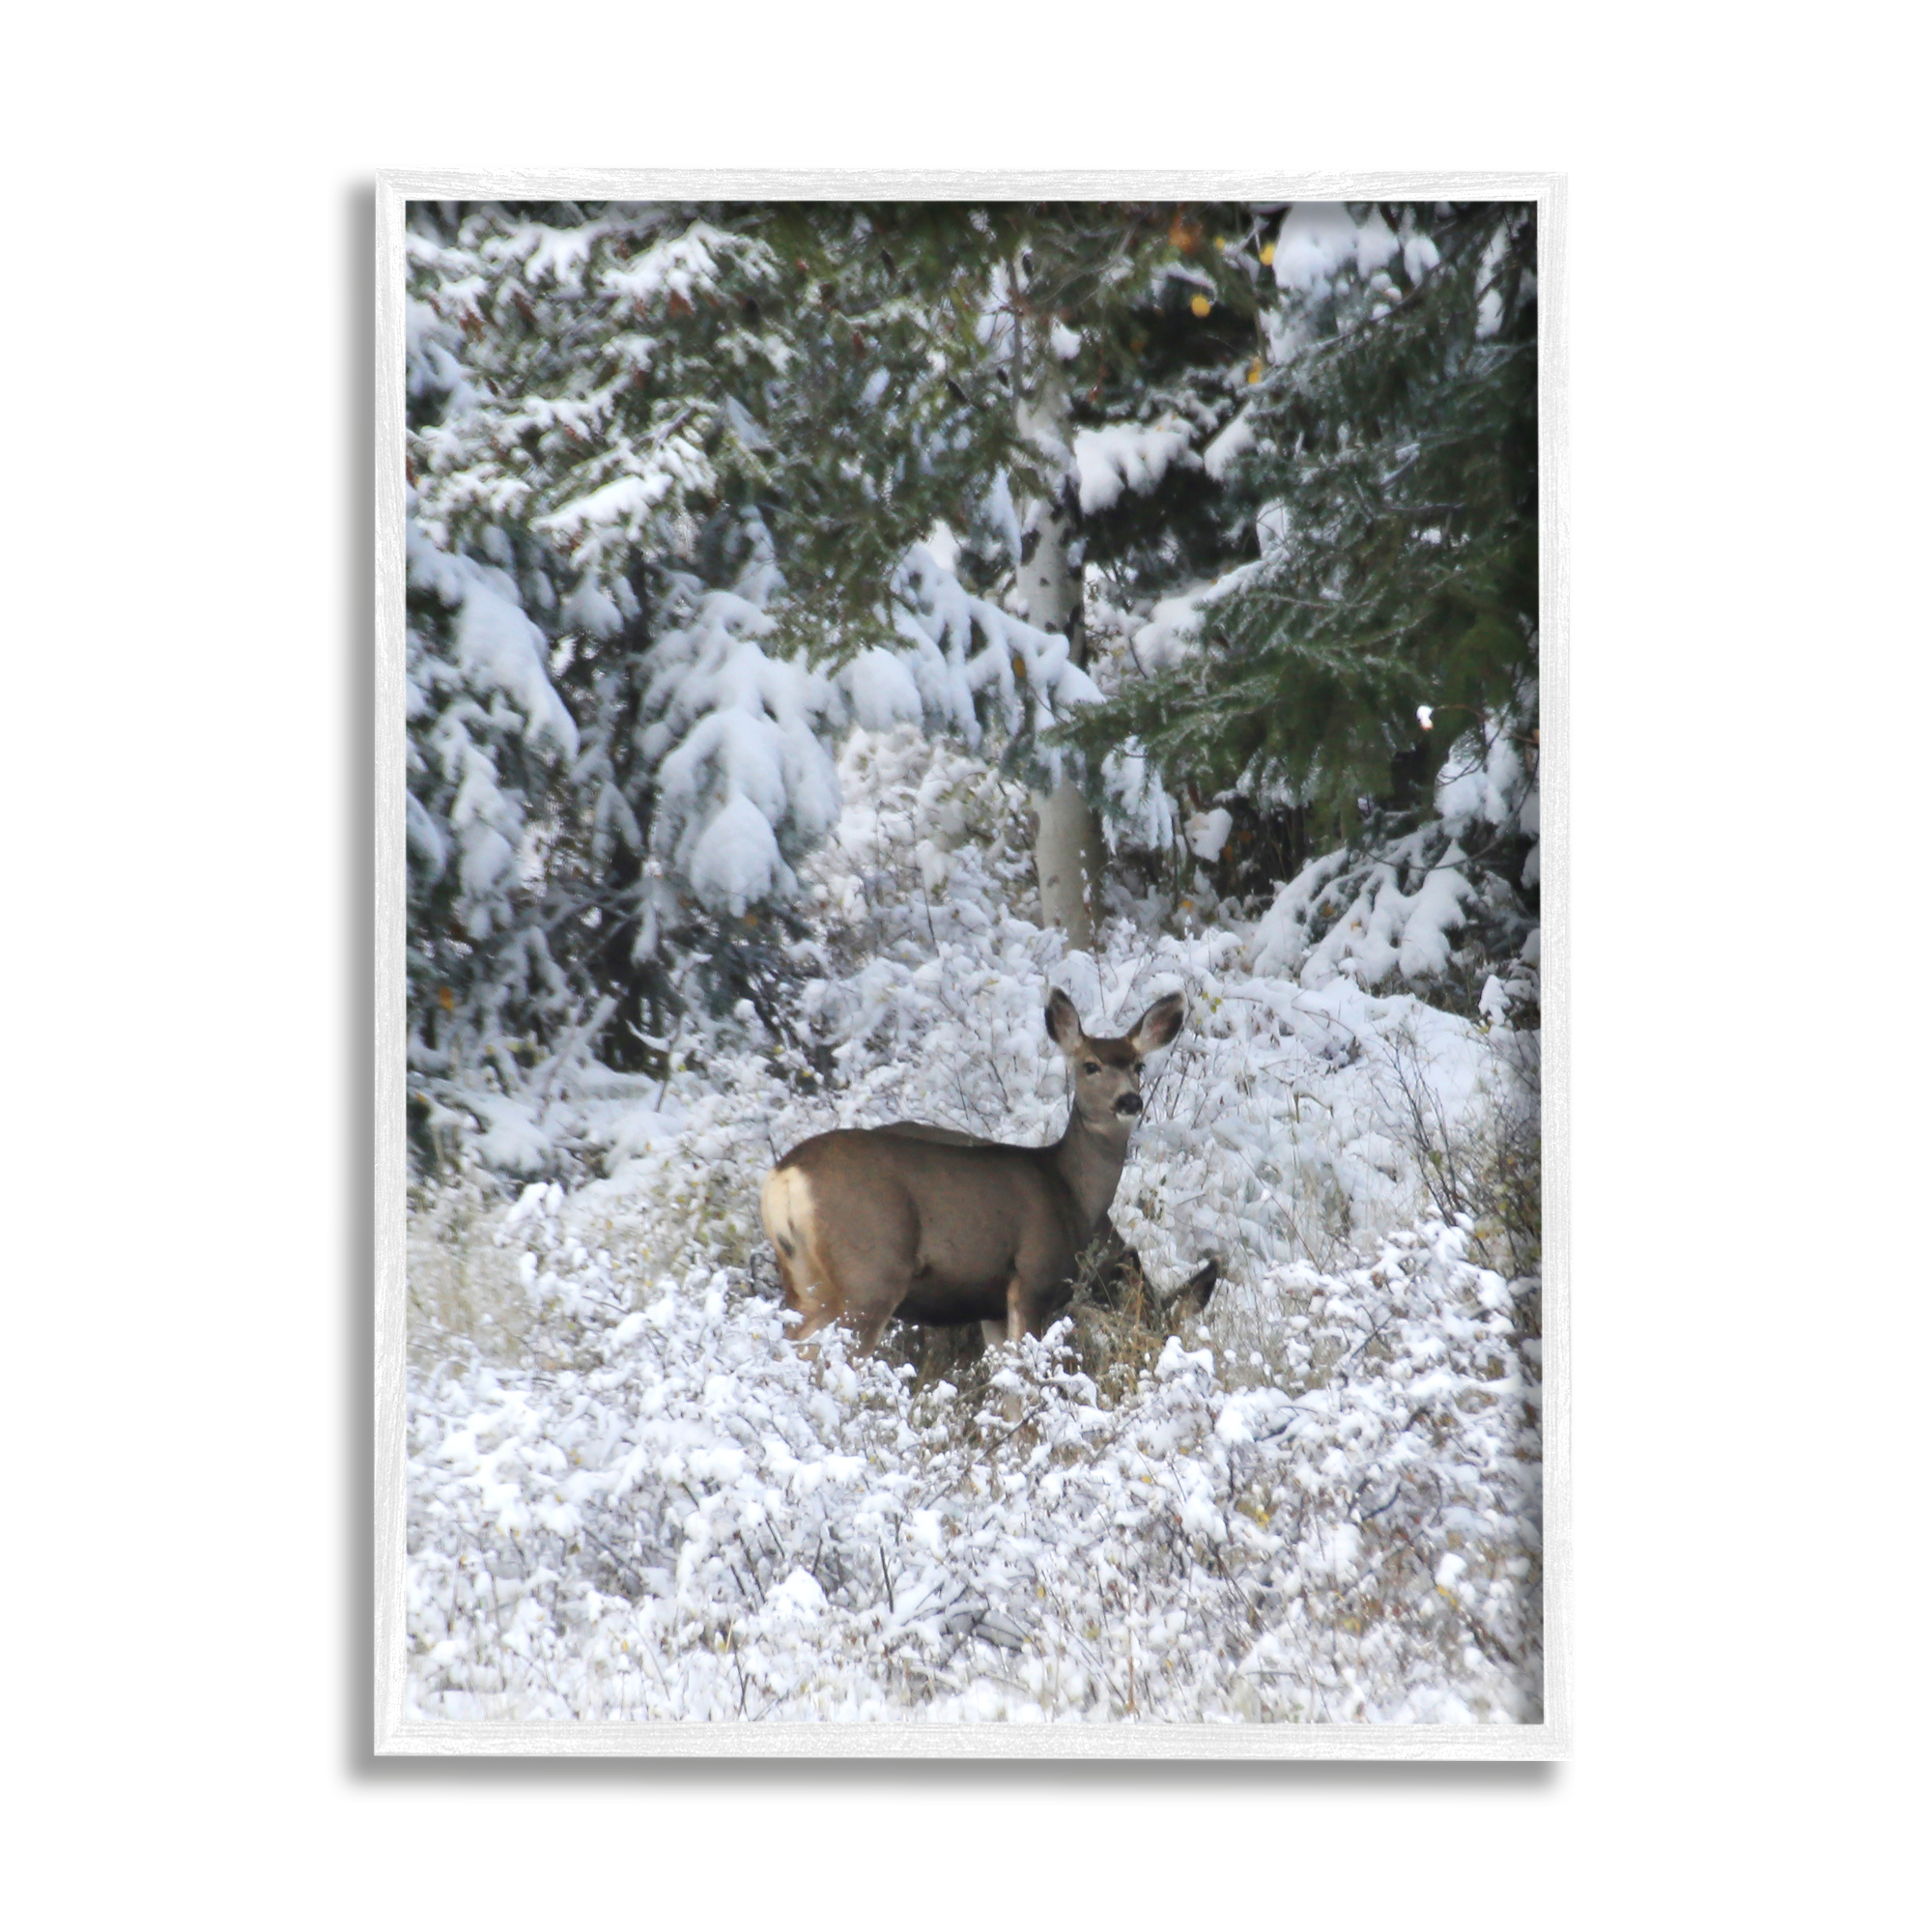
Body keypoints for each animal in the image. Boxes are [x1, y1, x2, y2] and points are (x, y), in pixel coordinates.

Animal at [760, 987, 1186, 1354]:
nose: (1129, 1101)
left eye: (1139, 1064)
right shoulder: (1032, 1276)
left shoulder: (991, 1307)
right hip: (869, 1272)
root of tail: (786, 1175)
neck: (1071, 1191)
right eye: (1090, 1066)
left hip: (804, 1280)